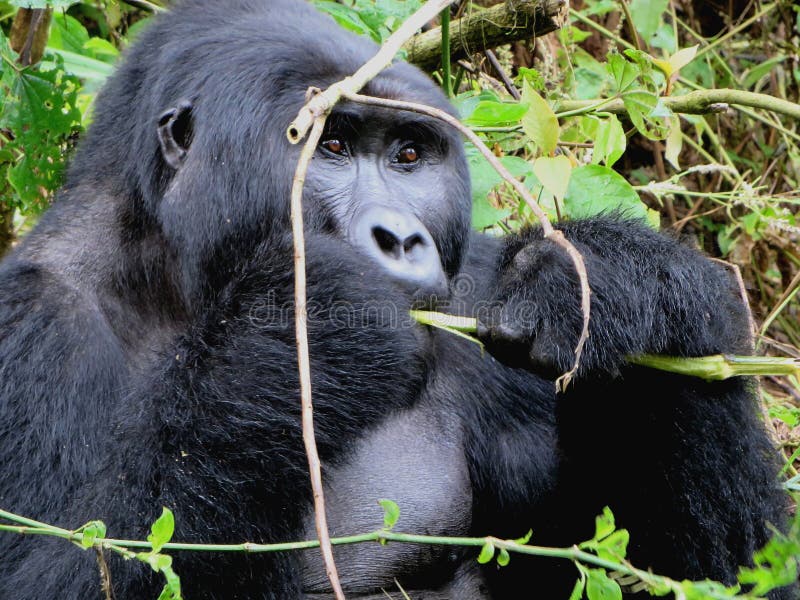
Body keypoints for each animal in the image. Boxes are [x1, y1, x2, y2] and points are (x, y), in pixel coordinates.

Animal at [0, 1, 792, 600]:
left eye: (409, 155)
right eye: (332, 145)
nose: (402, 238)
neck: (177, 273)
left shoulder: (480, 284)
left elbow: (711, 572)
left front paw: (626, 286)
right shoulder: (31, 321)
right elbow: (67, 565)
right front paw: (296, 341)